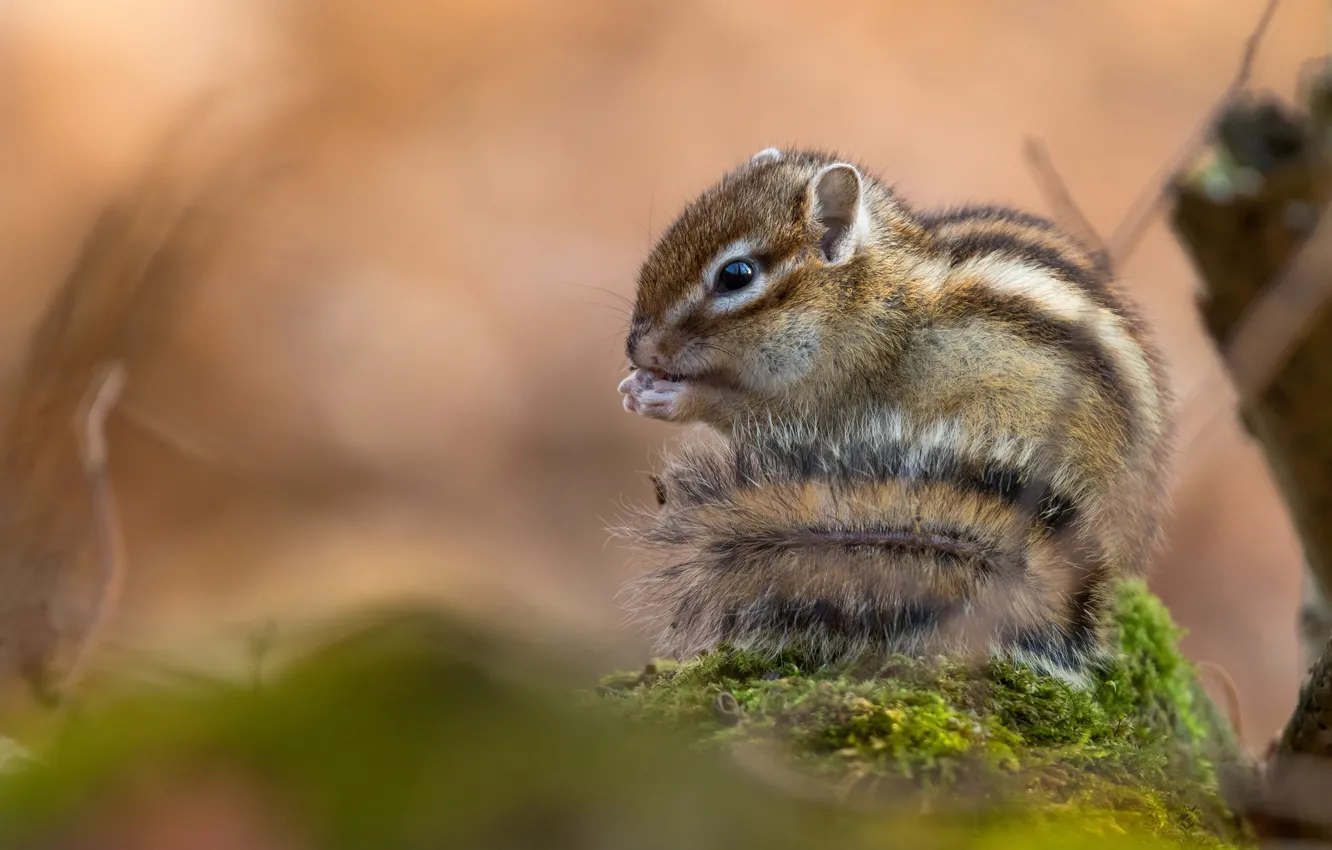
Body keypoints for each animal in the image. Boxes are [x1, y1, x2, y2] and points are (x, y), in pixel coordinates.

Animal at [615, 147, 1173, 686]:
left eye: (736, 275)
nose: (637, 348)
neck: (864, 293)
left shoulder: (827, 391)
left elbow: (746, 408)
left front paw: (670, 397)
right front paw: (636, 384)